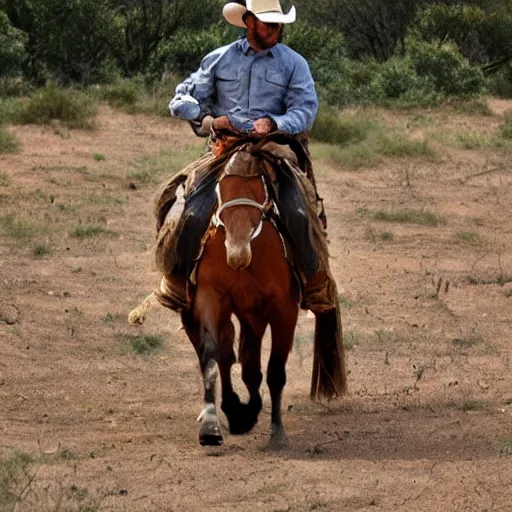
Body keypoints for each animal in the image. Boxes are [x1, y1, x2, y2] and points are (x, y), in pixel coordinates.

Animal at [180, 140, 348, 448]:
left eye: (260, 189)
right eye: (221, 188)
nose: (237, 253)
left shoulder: (283, 310)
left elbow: (274, 372)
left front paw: (277, 431)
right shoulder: (210, 297)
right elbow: (212, 355)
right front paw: (211, 427)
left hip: (254, 313)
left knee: (249, 364)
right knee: (229, 356)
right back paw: (235, 411)